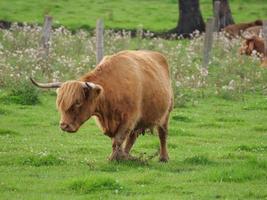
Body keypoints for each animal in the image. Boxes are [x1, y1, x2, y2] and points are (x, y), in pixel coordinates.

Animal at [30, 50, 174, 162]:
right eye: (60, 104)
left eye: (77, 102)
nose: (64, 126)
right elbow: (117, 141)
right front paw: (119, 157)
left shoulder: (130, 119)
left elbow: (118, 139)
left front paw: (113, 159)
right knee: (132, 137)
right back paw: (127, 156)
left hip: (165, 114)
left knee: (162, 134)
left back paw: (163, 158)